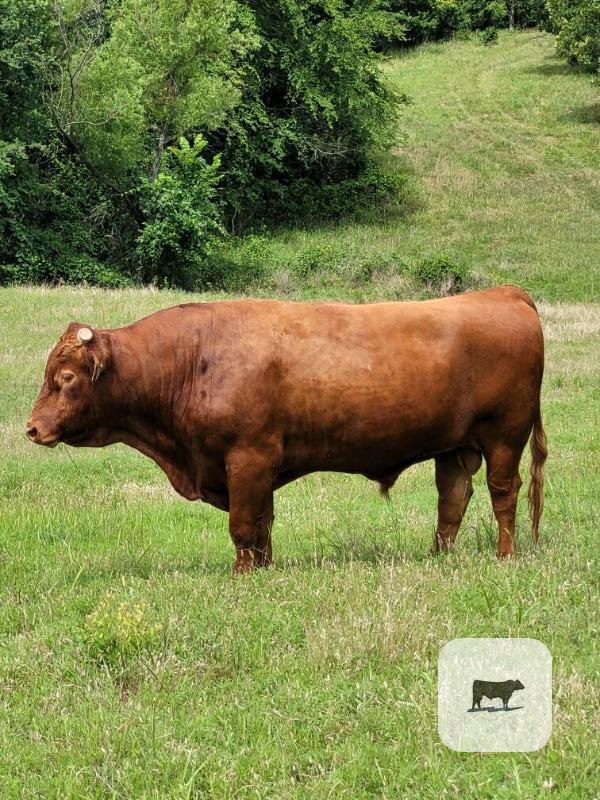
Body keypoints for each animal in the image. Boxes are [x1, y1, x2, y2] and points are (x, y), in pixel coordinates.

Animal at [26, 285, 547, 573]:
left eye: (65, 377)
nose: (31, 429)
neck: (193, 357)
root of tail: (504, 293)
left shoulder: (248, 457)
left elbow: (243, 524)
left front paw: (242, 575)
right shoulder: (257, 466)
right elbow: (262, 522)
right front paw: (265, 568)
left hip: (504, 437)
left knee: (504, 494)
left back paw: (504, 556)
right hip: (455, 446)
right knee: (452, 500)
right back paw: (437, 557)